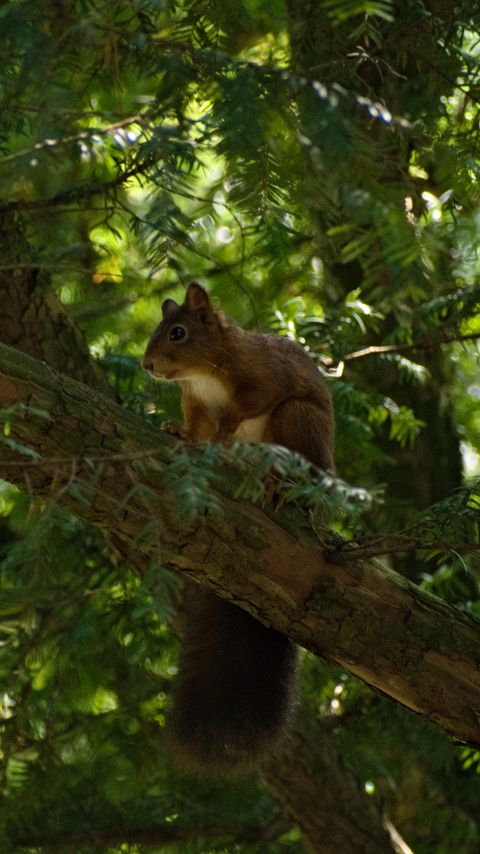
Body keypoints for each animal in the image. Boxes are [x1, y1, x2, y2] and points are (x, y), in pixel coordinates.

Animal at [142, 282, 334, 776]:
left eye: (177, 332)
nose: (146, 366)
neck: (204, 370)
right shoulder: (194, 400)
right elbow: (196, 427)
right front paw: (179, 433)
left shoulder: (262, 376)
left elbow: (254, 399)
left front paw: (228, 423)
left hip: (296, 422)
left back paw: (279, 486)